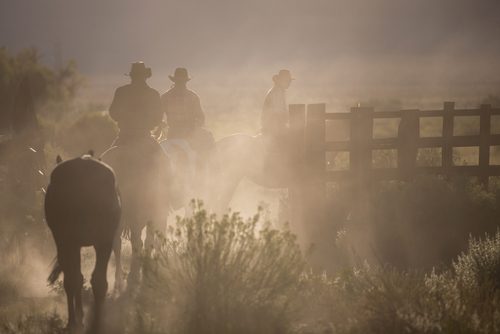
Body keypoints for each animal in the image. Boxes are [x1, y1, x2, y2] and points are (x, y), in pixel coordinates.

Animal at [45, 153, 121, 332]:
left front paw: (76, 319)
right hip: (104, 241)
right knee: (99, 281)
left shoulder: (65, 242)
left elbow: (72, 279)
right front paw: (81, 316)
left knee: (73, 279)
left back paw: (74, 322)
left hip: (69, 241)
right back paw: (96, 325)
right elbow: (80, 278)